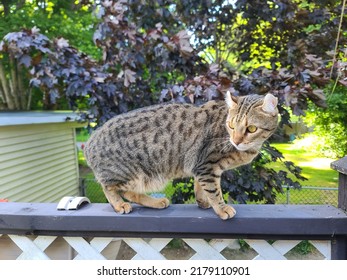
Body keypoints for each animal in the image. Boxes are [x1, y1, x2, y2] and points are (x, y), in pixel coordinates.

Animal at [84, 93, 280, 220]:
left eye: (251, 128)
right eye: (231, 125)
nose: (236, 140)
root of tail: (89, 142)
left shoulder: (202, 168)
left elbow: (200, 187)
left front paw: (203, 202)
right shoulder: (207, 165)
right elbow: (214, 190)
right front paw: (221, 208)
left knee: (128, 192)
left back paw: (156, 202)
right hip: (129, 173)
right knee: (109, 187)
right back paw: (119, 205)